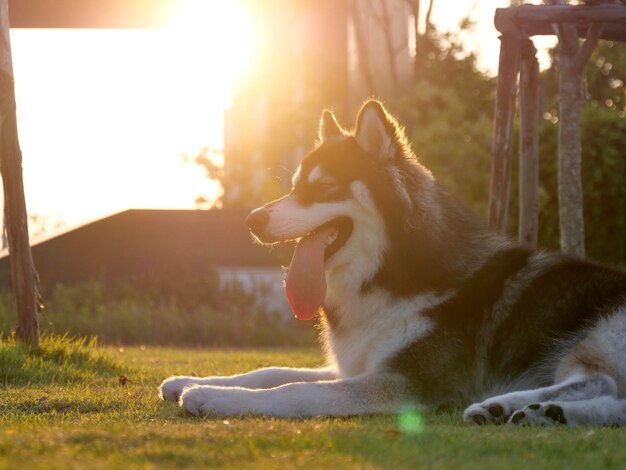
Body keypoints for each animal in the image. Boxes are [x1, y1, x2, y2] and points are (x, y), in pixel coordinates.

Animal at [160, 100, 624, 426]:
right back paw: (531, 411)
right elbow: (272, 369)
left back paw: (521, 407)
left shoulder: (403, 383)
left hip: (602, 330)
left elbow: (294, 389)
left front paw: (215, 396)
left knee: (600, 380)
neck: (393, 272)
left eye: (324, 188)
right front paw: (189, 380)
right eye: (293, 188)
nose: (252, 220)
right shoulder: (358, 364)